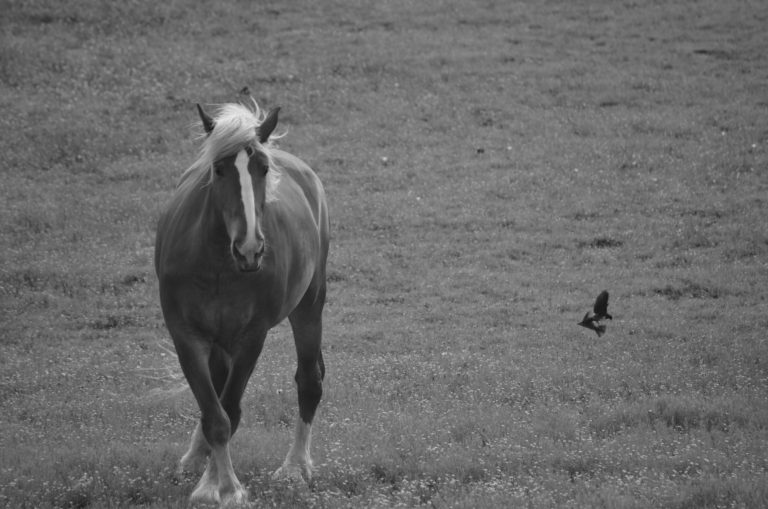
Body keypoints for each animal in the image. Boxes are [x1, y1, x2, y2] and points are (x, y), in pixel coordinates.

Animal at [154, 99, 329, 506]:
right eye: (218, 169)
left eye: (263, 169)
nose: (250, 249)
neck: (219, 263)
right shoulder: (186, 336)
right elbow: (213, 411)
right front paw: (210, 484)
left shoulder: (251, 338)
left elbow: (228, 412)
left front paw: (226, 488)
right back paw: (195, 459)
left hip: (309, 307)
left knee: (309, 382)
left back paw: (295, 467)